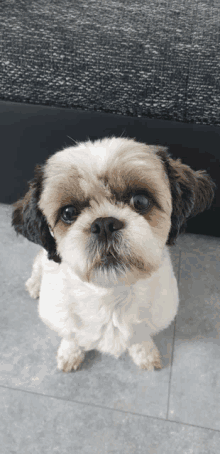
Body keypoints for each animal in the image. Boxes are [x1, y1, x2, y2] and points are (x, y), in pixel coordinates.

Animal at [11, 137, 215, 372]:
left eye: (141, 201)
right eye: (68, 212)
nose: (104, 224)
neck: (111, 295)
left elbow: (140, 337)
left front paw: (145, 353)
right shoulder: (60, 318)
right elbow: (72, 337)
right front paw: (70, 353)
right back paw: (35, 283)